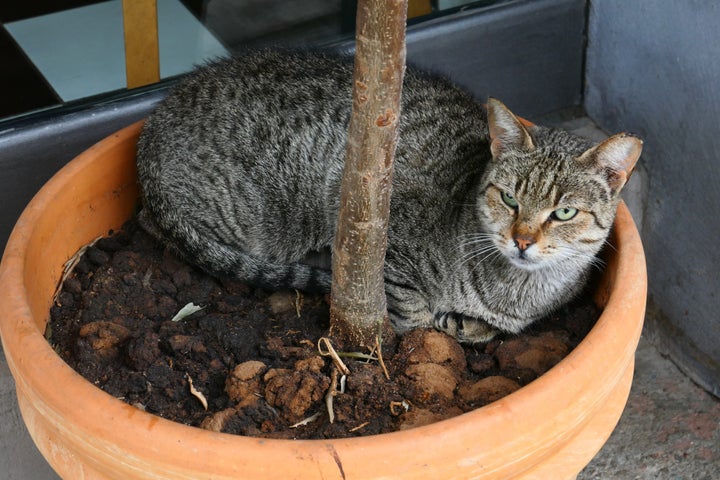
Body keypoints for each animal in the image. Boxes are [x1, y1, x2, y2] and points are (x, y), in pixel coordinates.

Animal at [135, 50, 640, 344]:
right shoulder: (389, 250)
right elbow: (414, 316)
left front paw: (466, 325)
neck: (514, 291)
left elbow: (482, 330)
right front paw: (426, 330)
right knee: (151, 227)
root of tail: (149, 133)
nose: (522, 240)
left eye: (565, 212)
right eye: (510, 199)